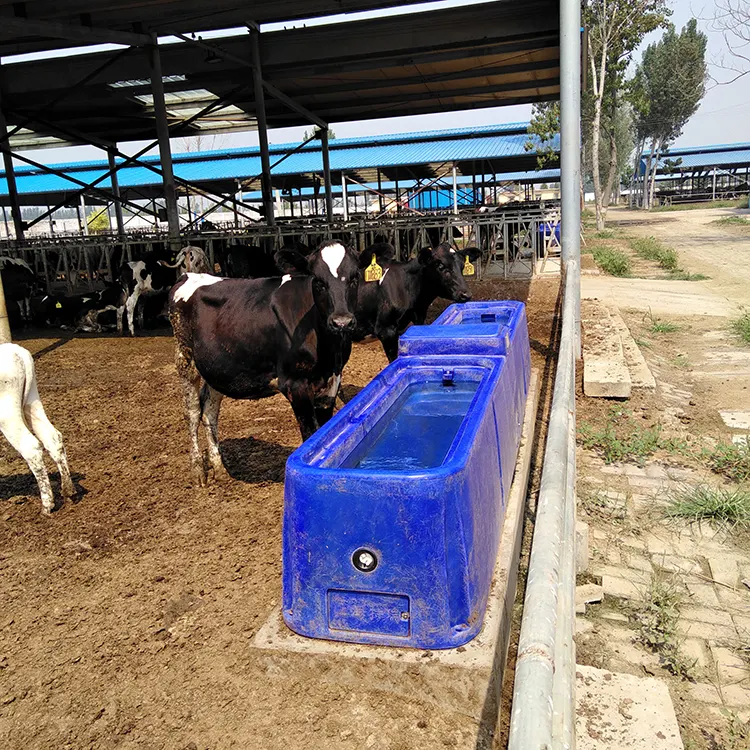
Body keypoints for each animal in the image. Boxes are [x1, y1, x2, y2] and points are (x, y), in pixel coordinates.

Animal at [0, 344, 73, 516]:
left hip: (6, 413)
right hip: (32, 401)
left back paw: (47, 506)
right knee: (53, 437)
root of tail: (16, 351)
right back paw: (68, 491)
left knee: (31, 447)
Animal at [170, 242, 362, 488]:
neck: (328, 347)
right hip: (185, 359)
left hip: (216, 367)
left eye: (355, 277)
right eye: (318, 281)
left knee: (209, 411)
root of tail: (188, 275)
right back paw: (198, 472)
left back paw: (220, 469)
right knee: (193, 412)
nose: (342, 322)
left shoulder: (331, 380)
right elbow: (310, 433)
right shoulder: (295, 384)